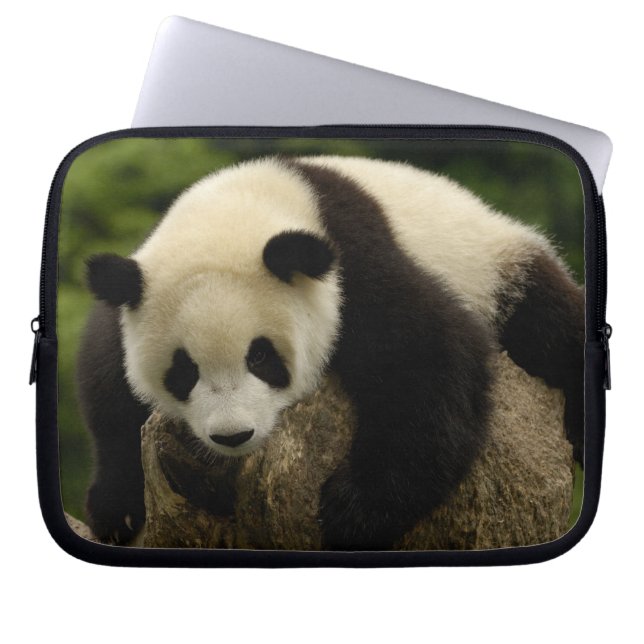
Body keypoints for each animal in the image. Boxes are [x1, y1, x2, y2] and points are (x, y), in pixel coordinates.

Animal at [77, 155, 584, 549]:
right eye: (184, 370)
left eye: (260, 357)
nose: (233, 435)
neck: (245, 204)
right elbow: (109, 390)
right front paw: (118, 509)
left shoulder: (354, 264)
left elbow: (431, 357)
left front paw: (353, 511)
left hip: (498, 271)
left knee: (557, 331)